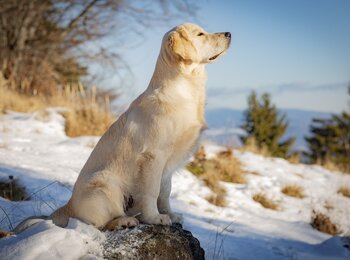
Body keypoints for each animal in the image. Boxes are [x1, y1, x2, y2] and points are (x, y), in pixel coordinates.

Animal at [14, 23, 232, 233]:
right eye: (200, 34)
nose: (229, 34)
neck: (185, 90)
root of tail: (66, 207)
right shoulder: (153, 156)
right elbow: (152, 192)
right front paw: (155, 218)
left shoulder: (168, 165)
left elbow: (165, 192)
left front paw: (170, 214)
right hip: (105, 184)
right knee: (94, 225)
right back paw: (123, 221)